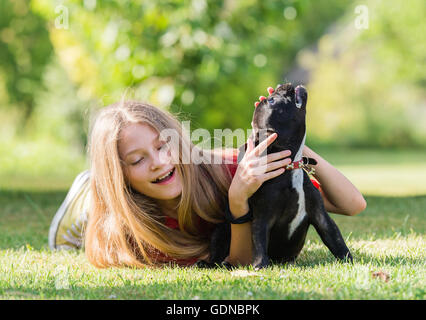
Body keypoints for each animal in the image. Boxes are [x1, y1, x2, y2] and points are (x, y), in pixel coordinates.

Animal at [196, 83, 352, 270]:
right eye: (272, 100)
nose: (280, 86)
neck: (290, 167)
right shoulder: (263, 217)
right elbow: (259, 240)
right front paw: (260, 265)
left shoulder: (320, 215)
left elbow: (335, 238)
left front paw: (348, 259)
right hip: (222, 231)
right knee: (218, 253)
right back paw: (209, 263)